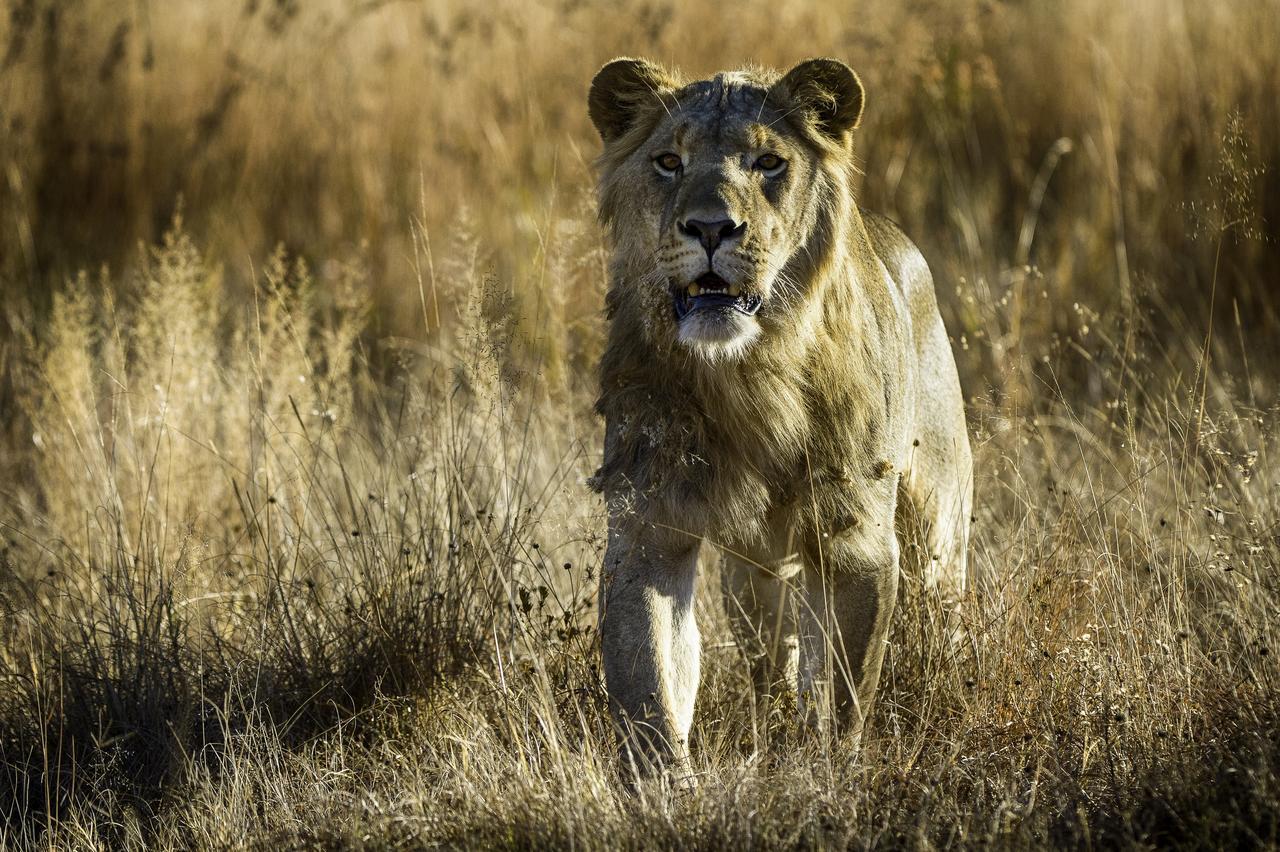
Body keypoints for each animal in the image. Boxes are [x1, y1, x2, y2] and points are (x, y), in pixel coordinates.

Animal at [586, 56, 967, 777]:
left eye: (768, 162)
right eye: (669, 161)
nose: (711, 228)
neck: (746, 375)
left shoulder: (856, 537)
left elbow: (843, 692)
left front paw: (829, 776)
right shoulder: (650, 524)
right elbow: (652, 683)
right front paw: (668, 788)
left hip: (936, 522)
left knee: (940, 606)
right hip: (751, 574)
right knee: (772, 652)